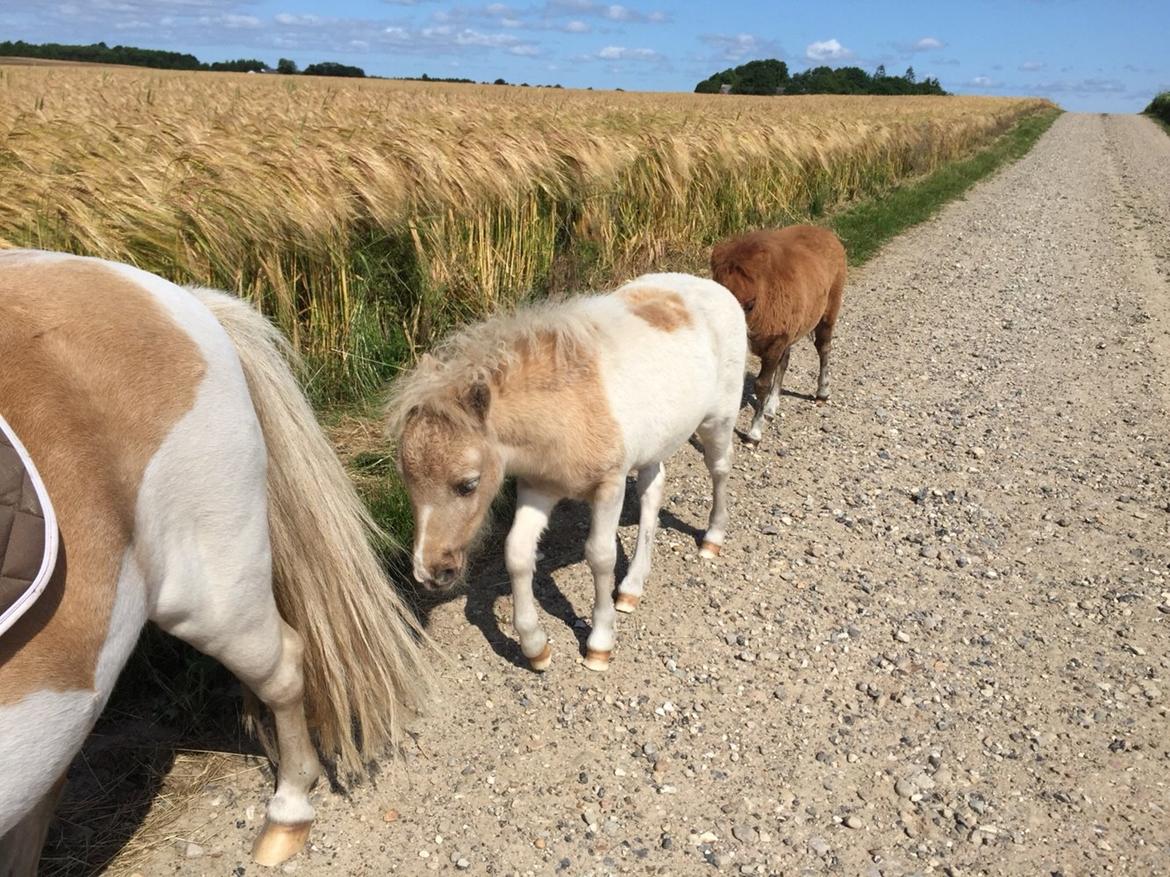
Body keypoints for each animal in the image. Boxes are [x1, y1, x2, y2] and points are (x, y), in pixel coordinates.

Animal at [388, 274, 744, 673]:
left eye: (468, 484)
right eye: (408, 484)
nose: (429, 572)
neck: (568, 406)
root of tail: (712, 285)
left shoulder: (610, 485)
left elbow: (600, 556)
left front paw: (599, 644)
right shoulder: (538, 488)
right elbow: (517, 554)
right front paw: (535, 647)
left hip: (718, 421)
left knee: (720, 469)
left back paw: (712, 538)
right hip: (655, 442)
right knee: (653, 490)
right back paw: (632, 587)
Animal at [706, 226, 847, 446]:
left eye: (750, 304)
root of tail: (828, 234)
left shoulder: (774, 344)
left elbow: (761, 385)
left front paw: (754, 433)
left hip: (829, 312)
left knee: (824, 348)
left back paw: (822, 392)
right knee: (785, 361)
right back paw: (771, 408)